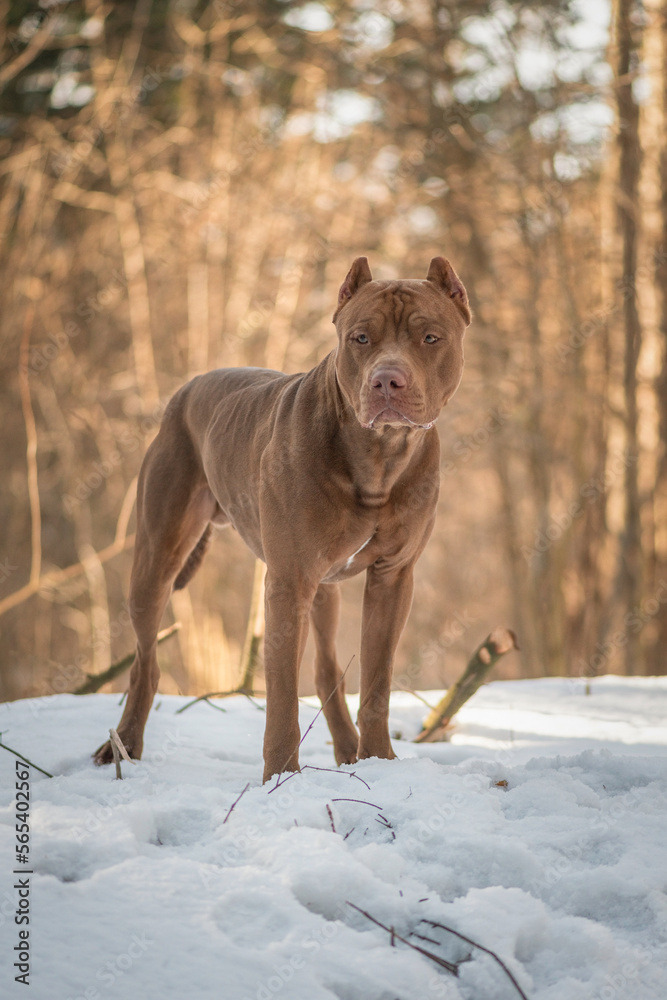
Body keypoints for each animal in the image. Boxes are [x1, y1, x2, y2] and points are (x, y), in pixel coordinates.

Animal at [94, 256, 472, 780]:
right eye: (361, 338)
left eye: (430, 337)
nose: (386, 380)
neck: (378, 456)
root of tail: (187, 387)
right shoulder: (288, 582)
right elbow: (281, 697)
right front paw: (279, 777)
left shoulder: (393, 577)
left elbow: (377, 683)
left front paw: (379, 761)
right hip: (156, 559)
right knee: (144, 660)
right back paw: (124, 743)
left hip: (324, 588)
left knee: (326, 666)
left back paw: (348, 750)